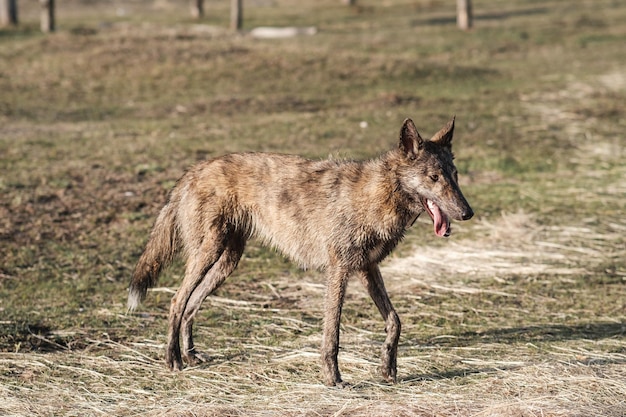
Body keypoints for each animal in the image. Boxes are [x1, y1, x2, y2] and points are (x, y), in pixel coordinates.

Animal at [127, 115, 470, 386]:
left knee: (191, 305)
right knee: (176, 301)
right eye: (433, 178)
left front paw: (388, 369)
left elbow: (394, 322)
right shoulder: (339, 272)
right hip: (208, 254)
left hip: (227, 262)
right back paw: (173, 359)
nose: (468, 213)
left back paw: (191, 355)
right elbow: (332, 334)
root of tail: (193, 170)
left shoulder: (367, 270)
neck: (379, 193)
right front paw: (333, 378)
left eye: (454, 176)